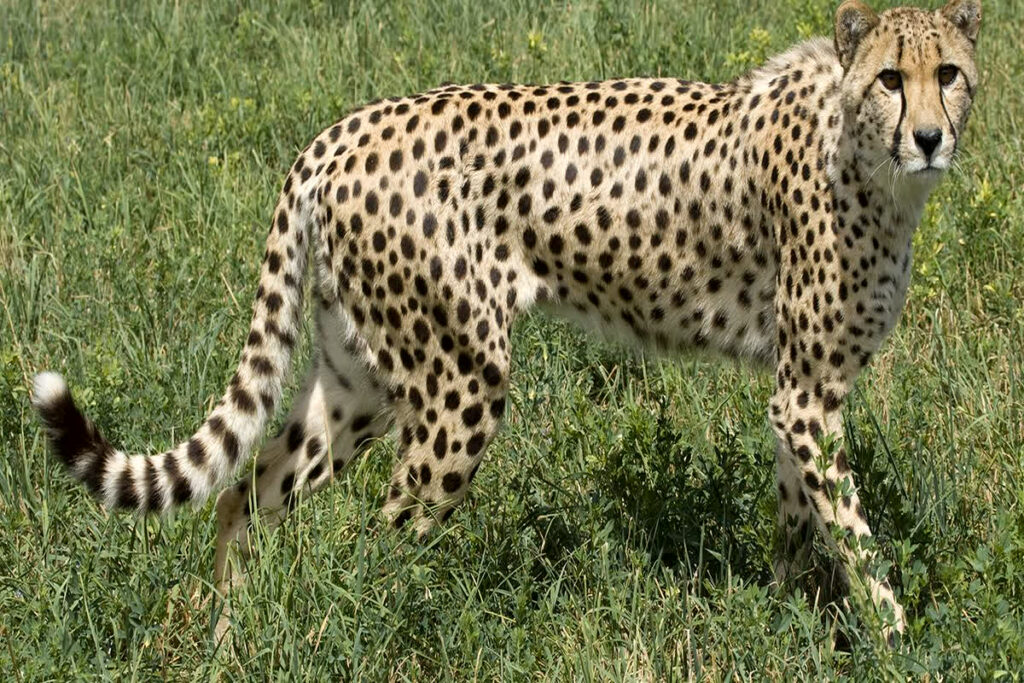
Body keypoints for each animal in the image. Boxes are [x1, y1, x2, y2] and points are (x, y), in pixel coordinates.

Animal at [32, 0, 981, 642]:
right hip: (462, 382)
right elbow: (854, 534)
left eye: (950, 75)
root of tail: (341, 129)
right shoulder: (809, 395)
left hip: (358, 378)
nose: (931, 138)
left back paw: (229, 638)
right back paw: (396, 636)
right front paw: (900, 640)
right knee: (387, 537)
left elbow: (800, 518)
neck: (863, 154)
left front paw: (785, 616)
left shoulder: (797, 393)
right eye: (892, 78)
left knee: (245, 491)